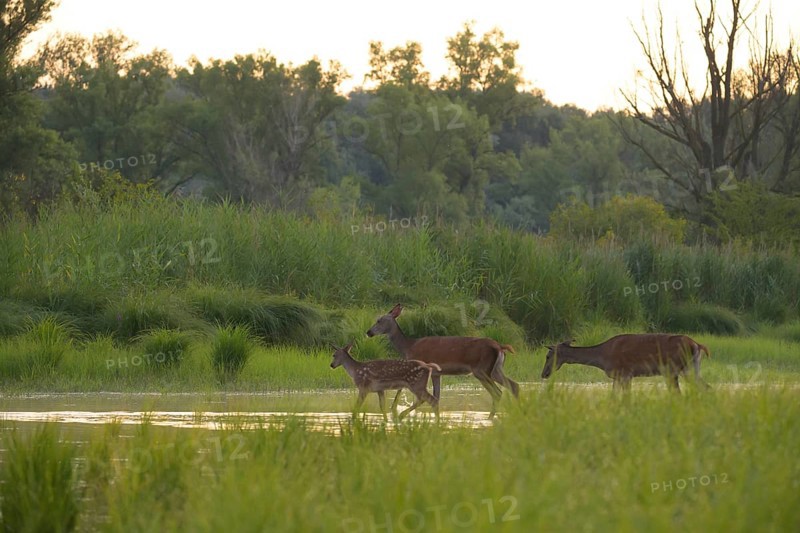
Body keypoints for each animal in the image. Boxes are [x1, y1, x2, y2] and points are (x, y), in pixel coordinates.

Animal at [366, 304, 519, 418]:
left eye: (379, 320)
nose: (368, 332)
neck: (408, 347)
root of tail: (500, 347)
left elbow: (420, 395)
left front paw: (397, 412)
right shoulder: (436, 373)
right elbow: (437, 397)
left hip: (481, 369)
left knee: (497, 392)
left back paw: (490, 418)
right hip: (496, 369)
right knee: (514, 385)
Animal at [540, 334, 711, 391]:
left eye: (548, 356)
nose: (544, 374)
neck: (603, 358)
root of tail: (697, 344)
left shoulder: (626, 373)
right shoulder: (617, 376)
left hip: (674, 369)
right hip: (692, 368)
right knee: (707, 387)